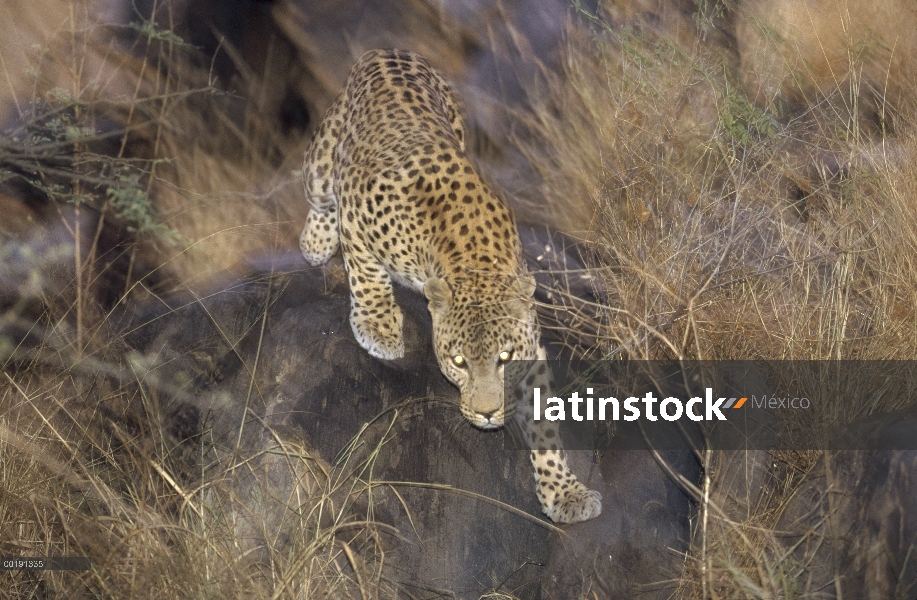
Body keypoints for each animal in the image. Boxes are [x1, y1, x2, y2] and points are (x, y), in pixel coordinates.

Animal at [298, 48, 600, 524]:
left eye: (504, 358)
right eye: (458, 362)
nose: (488, 415)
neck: (471, 263)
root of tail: (389, 51)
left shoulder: (530, 348)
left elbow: (544, 422)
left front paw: (564, 491)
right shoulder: (356, 211)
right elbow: (365, 269)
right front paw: (378, 325)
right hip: (323, 165)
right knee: (318, 193)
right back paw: (314, 243)